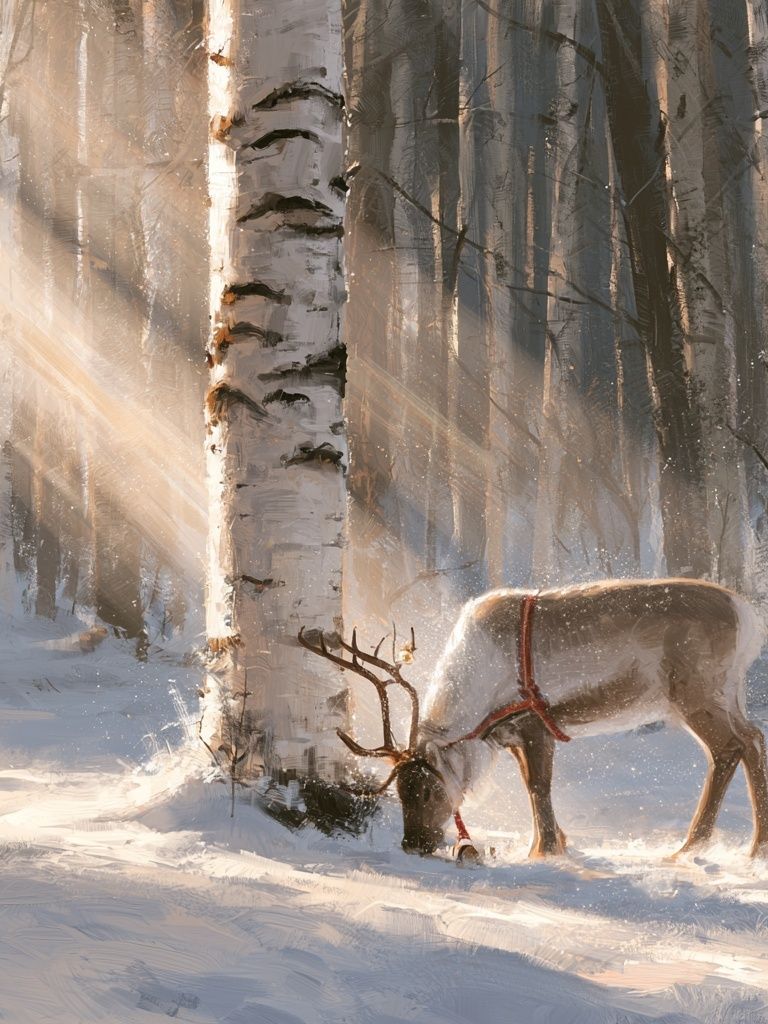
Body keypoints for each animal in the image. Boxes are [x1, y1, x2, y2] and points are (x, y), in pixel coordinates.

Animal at [299, 578, 768, 861]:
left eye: (428, 791)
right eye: (400, 790)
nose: (413, 845)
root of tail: (748, 616)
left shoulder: (533, 723)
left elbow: (538, 787)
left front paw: (543, 851)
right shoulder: (510, 735)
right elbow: (531, 786)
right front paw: (556, 842)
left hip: (695, 692)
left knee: (731, 746)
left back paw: (694, 847)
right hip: (727, 693)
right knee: (753, 738)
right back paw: (749, 848)